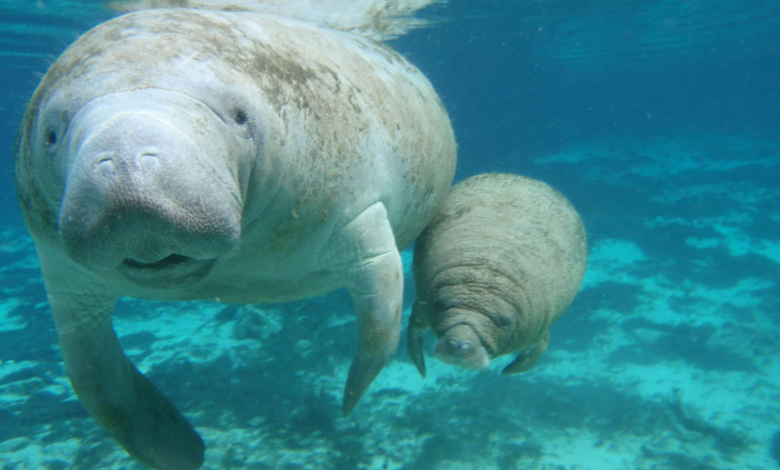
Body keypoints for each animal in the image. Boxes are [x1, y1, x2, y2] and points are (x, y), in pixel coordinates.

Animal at [13, 1, 458, 468]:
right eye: (51, 134)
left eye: (240, 117)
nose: (125, 158)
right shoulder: (63, 273)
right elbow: (92, 378)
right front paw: (181, 451)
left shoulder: (360, 216)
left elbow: (379, 323)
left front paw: (349, 403)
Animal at [408, 174, 584, 376]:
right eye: (440, 305)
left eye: (503, 321)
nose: (459, 345)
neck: (483, 273)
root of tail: (523, 178)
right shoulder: (422, 304)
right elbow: (413, 332)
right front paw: (422, 369)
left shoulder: (536, 329)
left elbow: (537, 349)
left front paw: (507, 371)